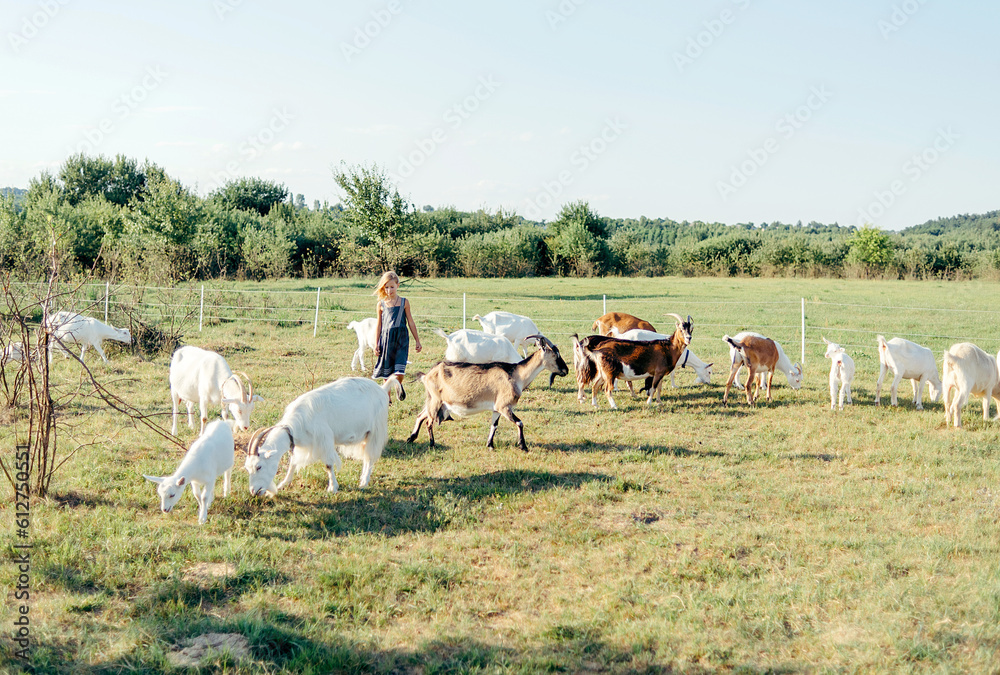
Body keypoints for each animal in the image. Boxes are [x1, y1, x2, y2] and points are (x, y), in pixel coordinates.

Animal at [245, 378, 402, 500]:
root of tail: (382, 389)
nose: (253, 491)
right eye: (248, 468)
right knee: (366, 457)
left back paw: (364, 482)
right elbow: (293, 463)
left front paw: (332, 488)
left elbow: (328, 465)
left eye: (259, 466)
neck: (297, 423)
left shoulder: (324, 439)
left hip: (375, 430)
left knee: (369, 458)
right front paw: (283, 484)